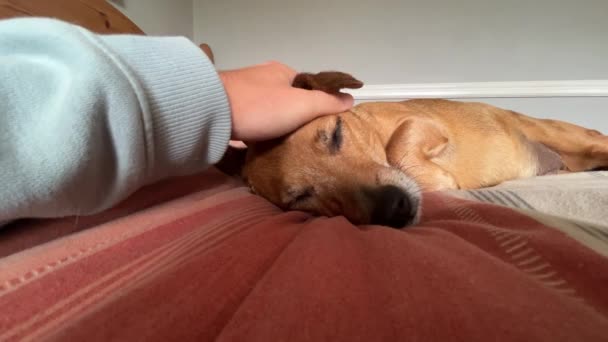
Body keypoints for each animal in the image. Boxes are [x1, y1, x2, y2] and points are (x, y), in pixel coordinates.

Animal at [238, 71, 608, 228]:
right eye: (300, 198)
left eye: (336, 134)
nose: (393, 208)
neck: (373, 131)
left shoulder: (422, 123)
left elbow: (400, 146)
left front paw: (437, 178)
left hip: (573, 137)